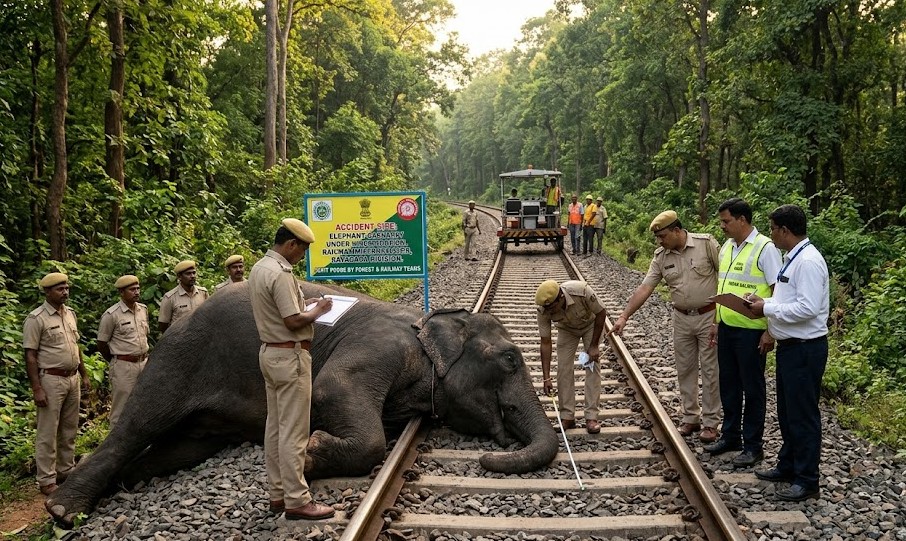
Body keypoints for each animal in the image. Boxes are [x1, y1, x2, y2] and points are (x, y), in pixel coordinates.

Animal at [45, 281, 559, 525]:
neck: (426, 324)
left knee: (181, 447)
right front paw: (309, 454)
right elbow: (333, 388)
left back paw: (125, 484)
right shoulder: (379, 348)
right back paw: (63, 511)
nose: (492, 457)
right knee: (140, 422)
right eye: (511, 359)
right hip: (176, 358)